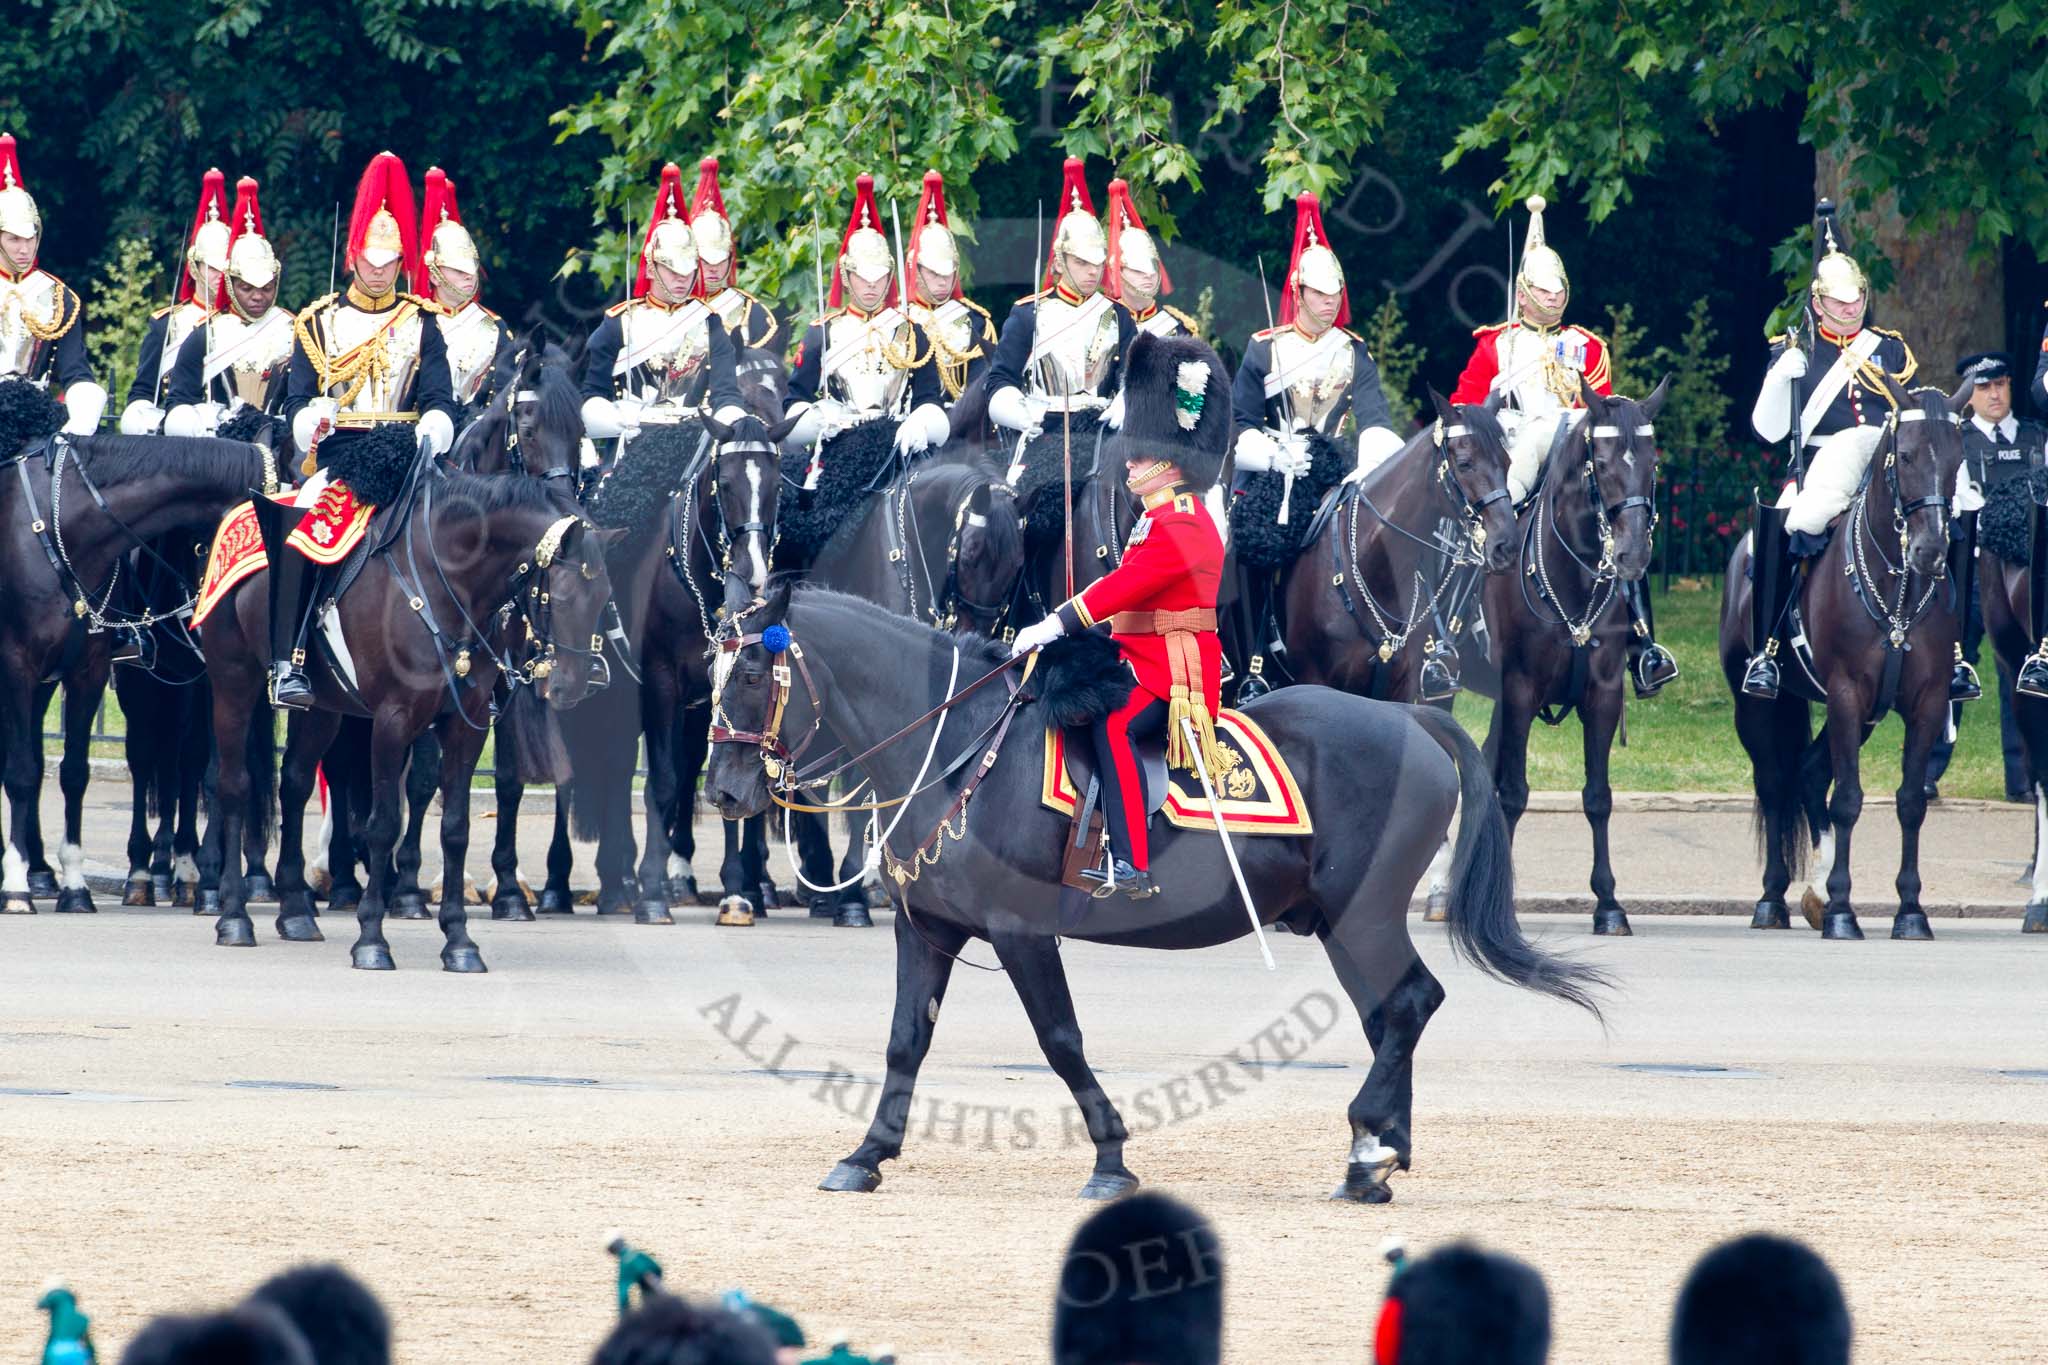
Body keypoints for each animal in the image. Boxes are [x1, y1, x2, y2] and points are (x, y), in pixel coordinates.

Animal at [704, 581, 1597, 1203]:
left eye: (750, 669)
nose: (723, 791)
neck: (956, 747)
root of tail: (1412, 718)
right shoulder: (927, 927)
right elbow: (903, 1042)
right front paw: (866, 1155)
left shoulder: (1020, 931)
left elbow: (1061, 1041)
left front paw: (1111, 1158)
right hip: (1340, 922)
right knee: (1392, 1014)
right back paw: (1375, 1155)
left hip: (1363, 913)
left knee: (1411, 1002)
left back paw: (1368, 1148)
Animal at [1482, 382, 1671, 941]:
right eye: (1601, 463)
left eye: (1653, 461)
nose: (1633, 554)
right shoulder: (1519, 693)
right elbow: (1513, 793)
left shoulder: (1603, 697)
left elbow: (1598, 796)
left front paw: (1608, 903)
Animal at [1720, 378, 1974, 945]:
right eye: (1905, 455)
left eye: (1958, 459)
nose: (1931, 551)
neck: (1897, 589)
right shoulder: (1844, 693)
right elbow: (1850, 799)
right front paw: (1842, 909)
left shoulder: (1925, 701)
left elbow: (1909, 800)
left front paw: (1910, 911)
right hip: (1758, 705)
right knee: (1775, 782)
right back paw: (1773, 899)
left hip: (1867, 716)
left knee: (1810, 772)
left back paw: (1812, 893)